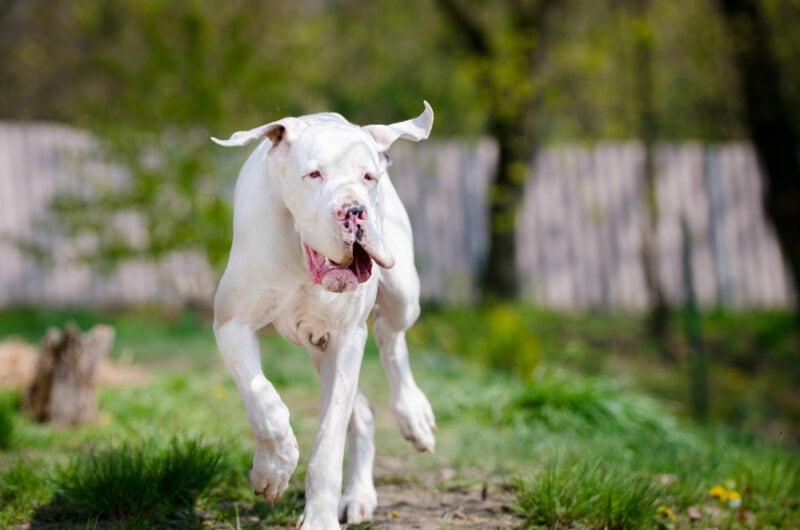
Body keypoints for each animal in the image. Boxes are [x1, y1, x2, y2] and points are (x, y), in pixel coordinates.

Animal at [211, 101, 438, 524]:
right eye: (314, 174)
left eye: (367, 177)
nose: (354, 211)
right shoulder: (232, 325)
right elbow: (264, 402)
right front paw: (274, 469)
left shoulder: (346, 338)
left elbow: (328, 445)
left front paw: (319, 520)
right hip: (318, 345)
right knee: (363, 411)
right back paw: (359, 494)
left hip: (402, 294)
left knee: (390, 335)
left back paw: (412, 414)